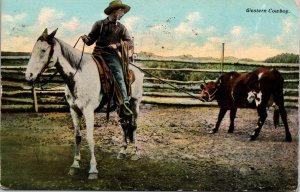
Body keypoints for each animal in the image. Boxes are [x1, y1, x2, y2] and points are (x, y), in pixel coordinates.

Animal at [24, 28, 144, 180]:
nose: (28, 75)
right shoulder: (74, 110)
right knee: (124, 125)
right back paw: (122, 152)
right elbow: (77, 137)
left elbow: (89, 138)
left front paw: (93, 169)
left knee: (133, 126)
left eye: (43, 50)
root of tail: (137, 69)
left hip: (135, 102)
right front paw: (75, 164)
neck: (78, 76)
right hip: (120, 106)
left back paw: (135, 153)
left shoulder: (88, 111)